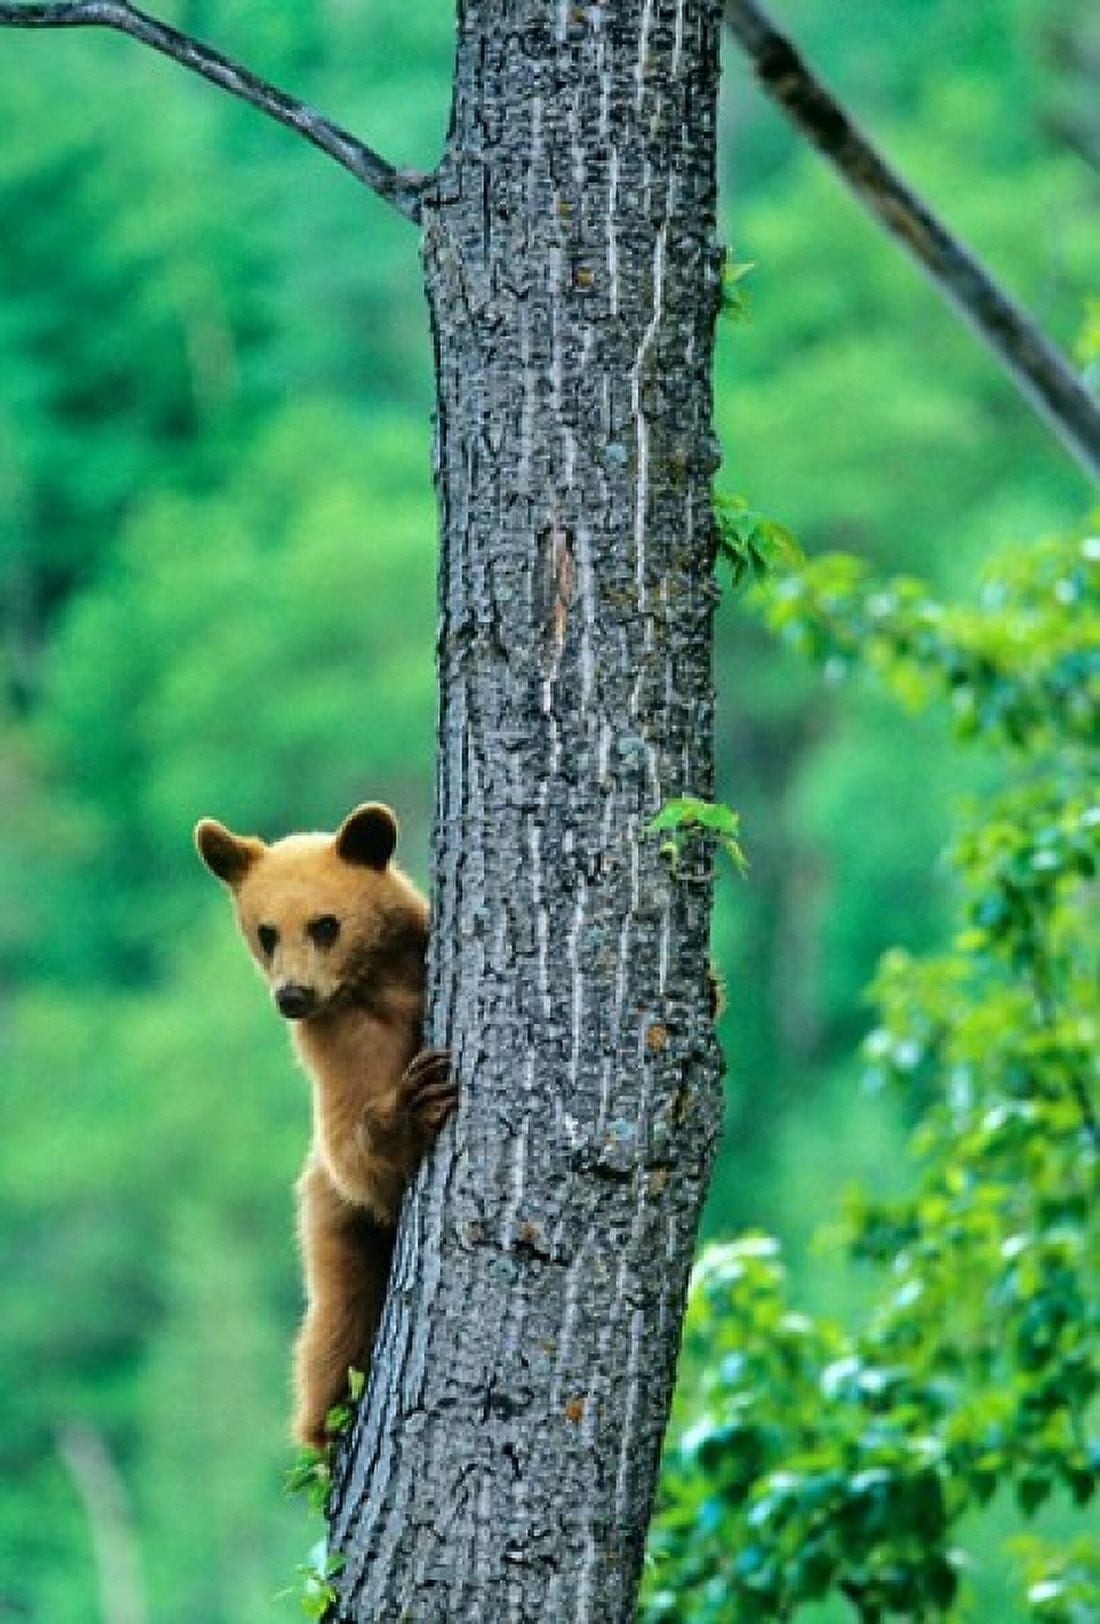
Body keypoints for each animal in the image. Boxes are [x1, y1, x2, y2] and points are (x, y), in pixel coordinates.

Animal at [193, 801, 454, 1450]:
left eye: (324, 924)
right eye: (266, 932)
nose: (292, 994)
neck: (378, 986)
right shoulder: (341, 1049)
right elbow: (353, 1150)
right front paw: (414, 1104)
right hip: (334, 1223)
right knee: (335, 1328)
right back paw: (327, 1427)